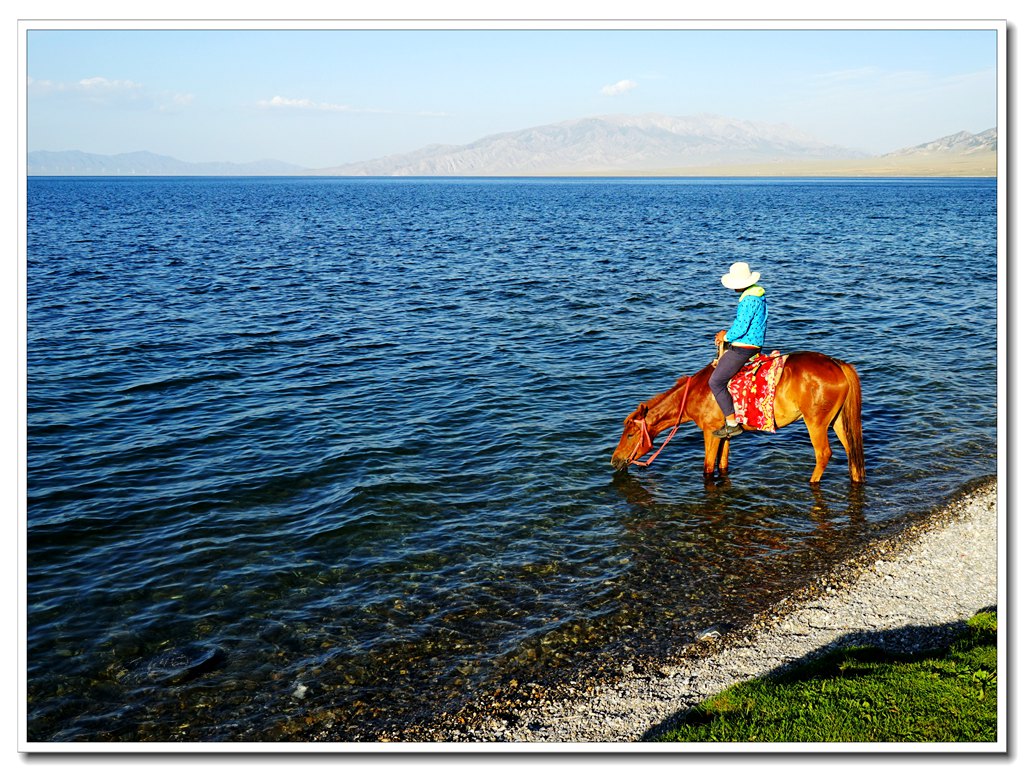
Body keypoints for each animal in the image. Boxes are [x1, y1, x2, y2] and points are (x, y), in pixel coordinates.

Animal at [610, 350, 868, 481]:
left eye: (631, 435)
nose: (614, 460)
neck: (696, 392)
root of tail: (838, 364)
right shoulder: (723, 435)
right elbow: (722, 464)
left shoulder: (709, 433)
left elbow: (708, 467)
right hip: (837, 421)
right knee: (852, 452)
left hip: (815, 422)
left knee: (824, 454)